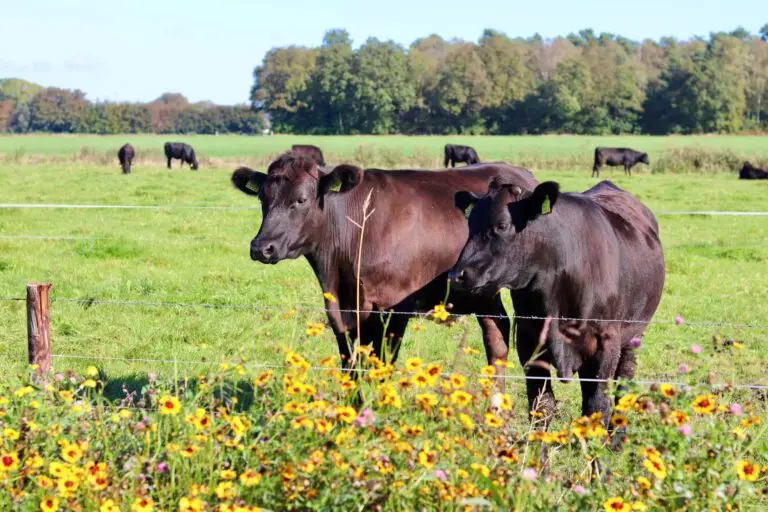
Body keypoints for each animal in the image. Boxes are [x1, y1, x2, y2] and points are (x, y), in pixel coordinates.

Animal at [231, 154, 538, 377]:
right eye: (263, 198)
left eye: (301, 199)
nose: (261, 247)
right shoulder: (341, 310)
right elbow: (351, 368)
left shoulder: (394, 308)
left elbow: (381, 368)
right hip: (483, 290)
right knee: (496, 336)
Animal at [450, 179, 664, 425]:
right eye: (469, 224)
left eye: (502, 225)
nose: (456, 275)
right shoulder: (528, 338)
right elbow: (542, 405)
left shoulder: (605, 344)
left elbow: (597, 408)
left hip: (633, 335)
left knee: (624, 387)